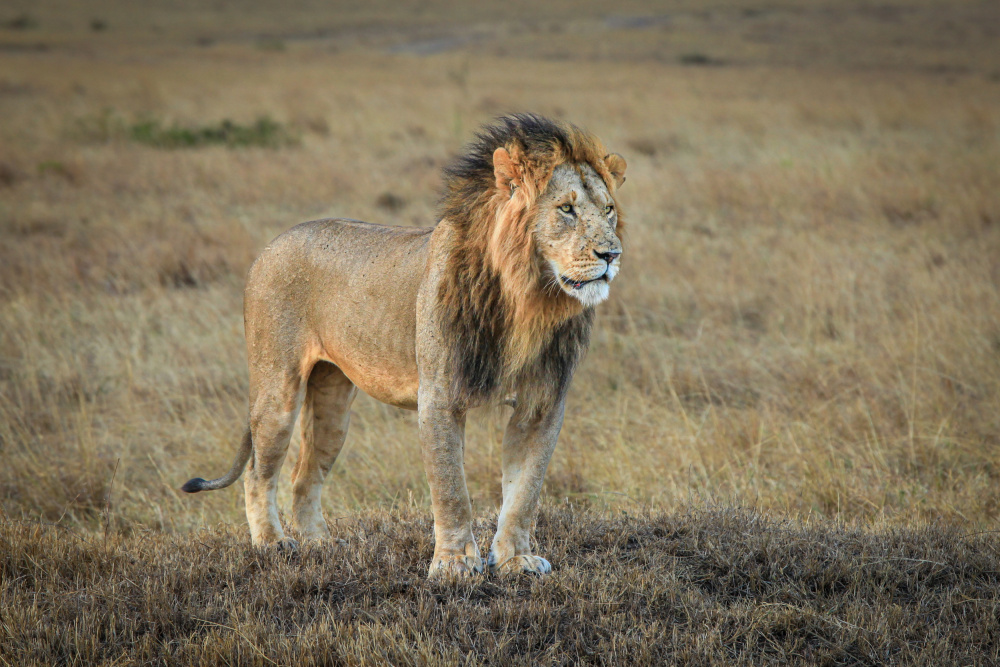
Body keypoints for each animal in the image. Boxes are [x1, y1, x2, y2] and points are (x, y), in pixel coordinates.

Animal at [182, 112, 624, 576]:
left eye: (608, 210)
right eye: (566, 209)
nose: (611, 255)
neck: (531, 299)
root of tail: (272, 244)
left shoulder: (543, 402)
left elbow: (525, 490)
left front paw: (515, 559)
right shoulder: (440, 396)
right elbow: (451, 488)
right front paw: (454, 566)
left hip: (332, 403)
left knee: (305, 474)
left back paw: (320, 544)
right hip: (277, 390)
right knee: (258, 472)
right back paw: (272, 543)